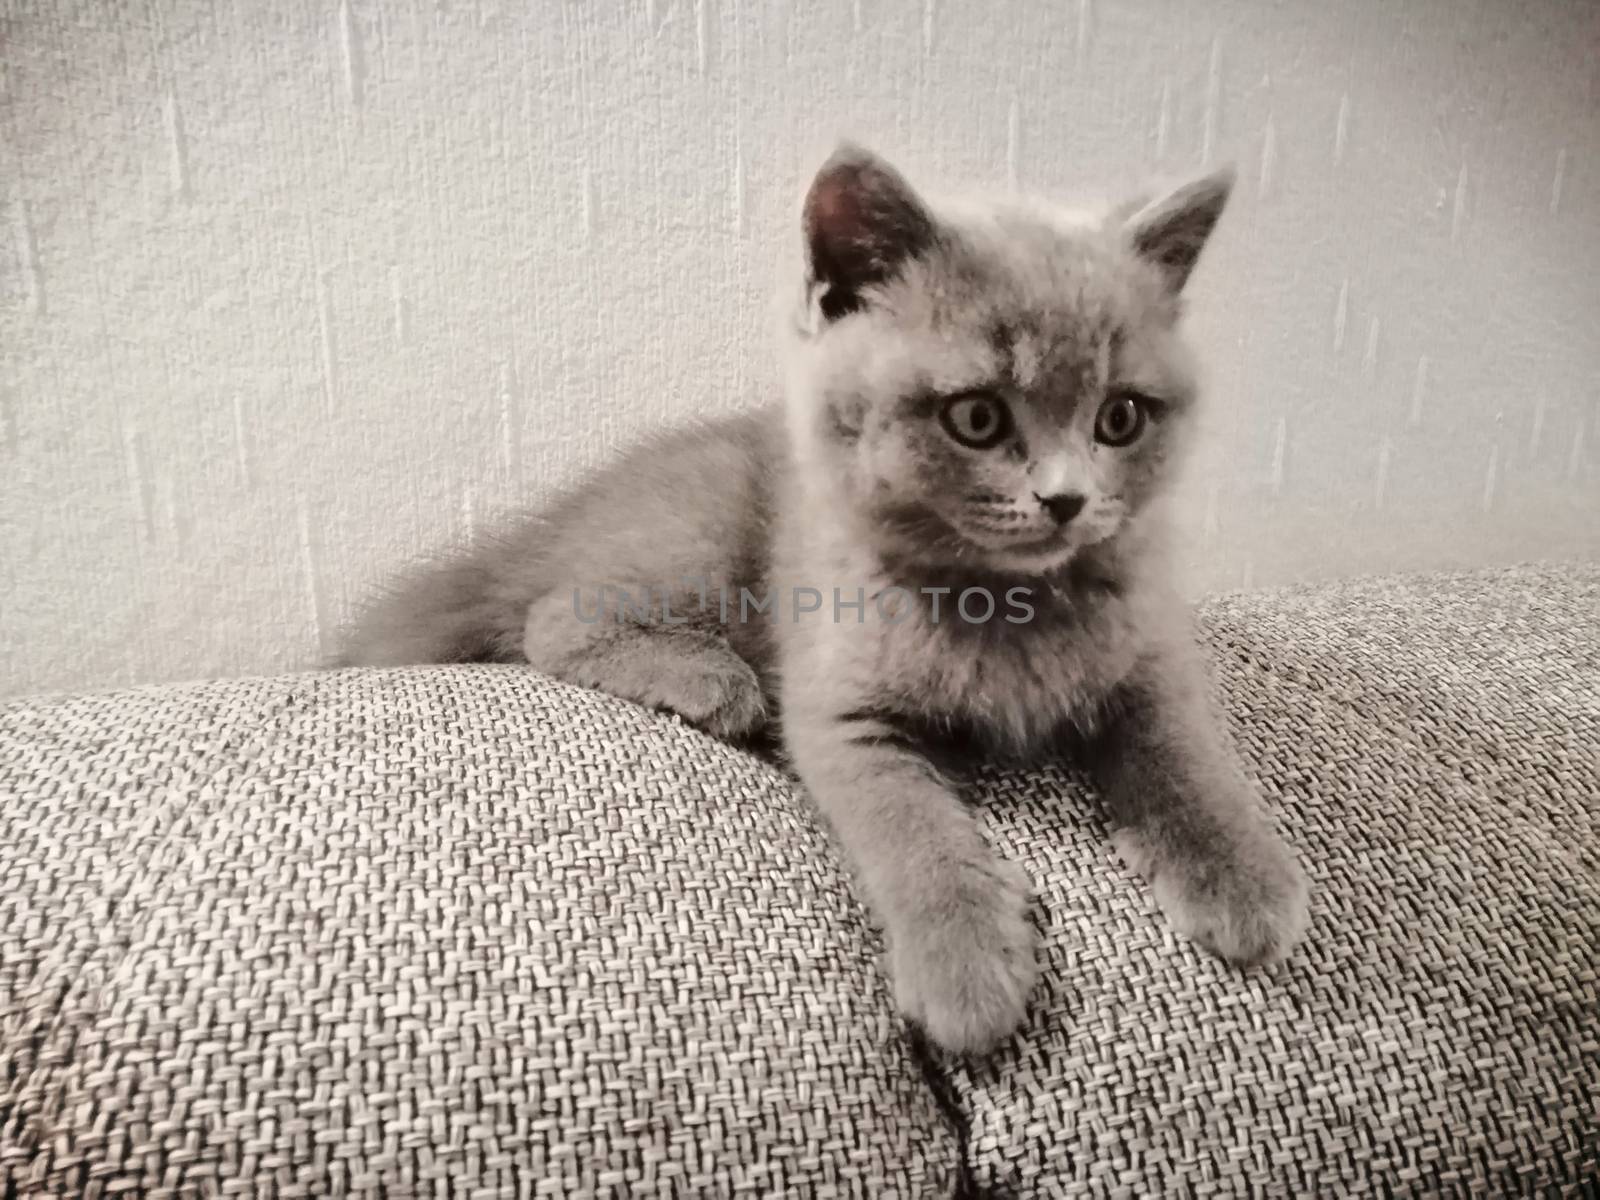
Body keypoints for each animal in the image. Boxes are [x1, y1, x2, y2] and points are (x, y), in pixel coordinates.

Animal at [337, 145, 1312, 1056]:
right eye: (977, 418)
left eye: (1121, 418)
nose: (1067, 500)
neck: (1005, 598)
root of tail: (550, 522)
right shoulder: (839, 701)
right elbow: (907, 824)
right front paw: (965, 965)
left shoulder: (1153, 656)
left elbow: (1187, 754)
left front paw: (1244, 876)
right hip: (702, 528)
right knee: (553, 615)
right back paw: (711, 682)